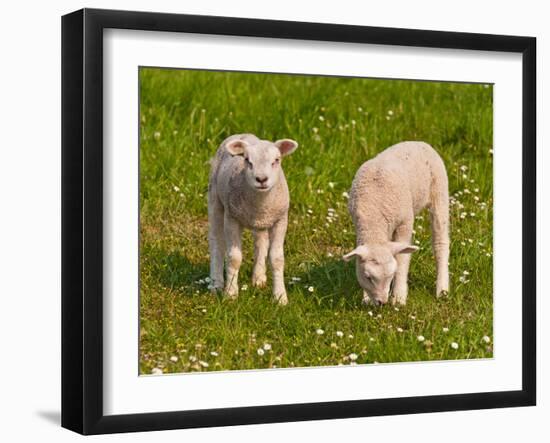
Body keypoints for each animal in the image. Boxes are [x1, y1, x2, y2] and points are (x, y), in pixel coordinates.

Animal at [208, 133, 302, 306]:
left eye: (276, 160)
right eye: (247, 160)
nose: (261, 179)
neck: (260, 202)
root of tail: (242, 134)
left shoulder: (280, 220)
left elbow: (277, 259)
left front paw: (280, 297)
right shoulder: (232, 218)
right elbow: (234, 258)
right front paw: (230, 294)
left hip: (262, 223)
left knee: (261, 242)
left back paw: (258, 278)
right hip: (215, 199)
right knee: (216, 241)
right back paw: (216, 284)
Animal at [344, 141, 452, 306]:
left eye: (391, 276)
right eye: (368, 277)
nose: (382, 302)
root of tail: (419, 142)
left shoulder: (405, 222)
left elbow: (402, 259)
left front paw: (399, 297)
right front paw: (367, 298)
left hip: (439, 190)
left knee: (440, 242)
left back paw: (442, 290)